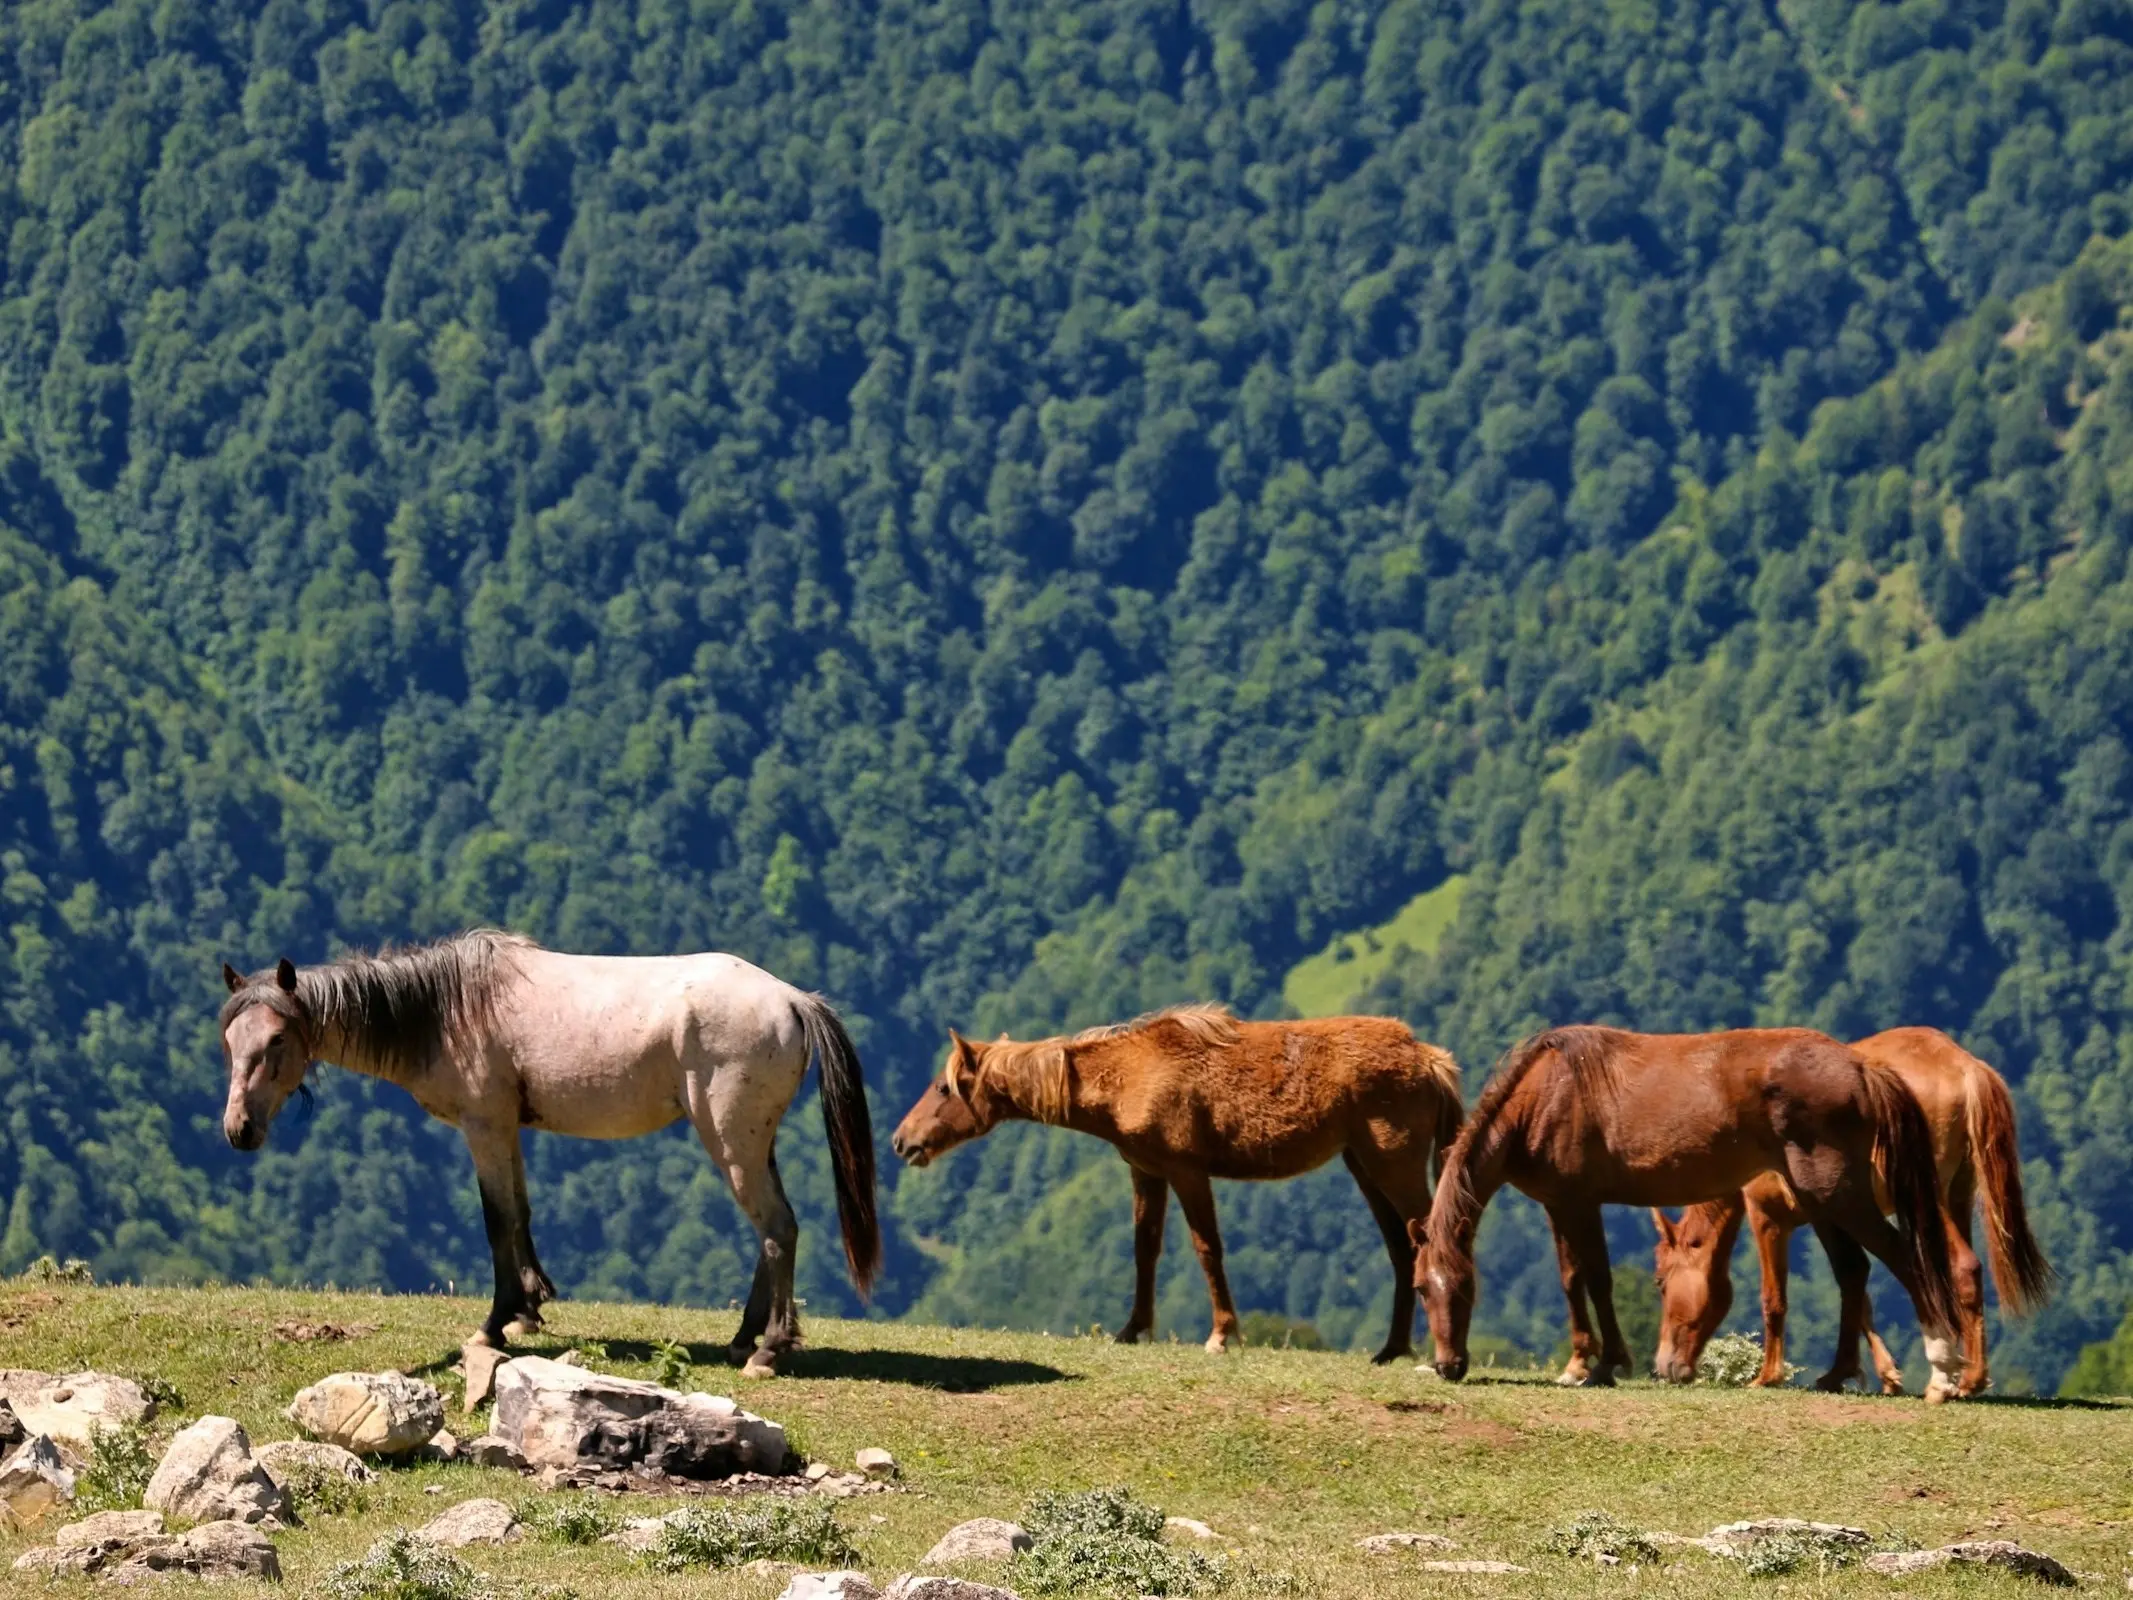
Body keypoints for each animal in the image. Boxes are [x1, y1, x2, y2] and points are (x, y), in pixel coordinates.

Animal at [214, 925, 874, 1382]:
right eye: (229, 1040)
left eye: (278, 1039)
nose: (239, 1130)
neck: (448, 1009)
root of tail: (792, 999)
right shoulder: (507, 1129)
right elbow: (520, 1214)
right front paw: (529, 1308)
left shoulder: (484, 1127)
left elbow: (496, 1220)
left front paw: (494, 1326)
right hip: (753, 1143)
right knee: (770, 1229)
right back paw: (745, 1337)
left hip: (732, 1140)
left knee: (778, 1227)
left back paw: (769, 1350)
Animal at [887, 1006, 1467, 1356]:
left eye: (943, 1087)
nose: (901, 1141)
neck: (1128, 1076)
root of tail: (1428, 1058)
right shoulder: (1146, 1171)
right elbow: (1145, 1250)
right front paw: (1131, 1328)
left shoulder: (1188, 1171)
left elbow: (1207, 1248)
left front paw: (1222, 1334)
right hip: (1365, 1168)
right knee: (1402, 1250)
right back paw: (1391, 1349)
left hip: (1394, 1166)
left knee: (1430, 1241)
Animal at [1407, 1028, 1953, 1390]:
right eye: (1420, 1289)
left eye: (1466, 1287)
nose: (1448, 1366)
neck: (1546, 1094)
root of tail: (1862, 1067)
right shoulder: (1557, 1206)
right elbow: (1571, 1279)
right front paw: (1578, 1363)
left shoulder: (1581, 1204)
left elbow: (1597, 1279)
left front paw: (1607, 1364)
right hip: (1820, 1200)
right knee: (1852, 1270)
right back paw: (1836, 1374)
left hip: (1838, 1195)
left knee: (1902, 1258)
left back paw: (1944, 1369)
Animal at [1646, 1032, 2047, 1399]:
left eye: (1661, 1282)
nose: (1665, 1366)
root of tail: (1965, 1066)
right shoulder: (1829, 1216)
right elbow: (1857, 1288)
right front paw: (1875, 1373)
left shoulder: (1771, 1217)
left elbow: (1777, 1296)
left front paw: (1770, 1375)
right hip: (1957, 1197)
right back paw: (1964, 1373)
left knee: (1961, 1268)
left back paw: (1963, 1378)